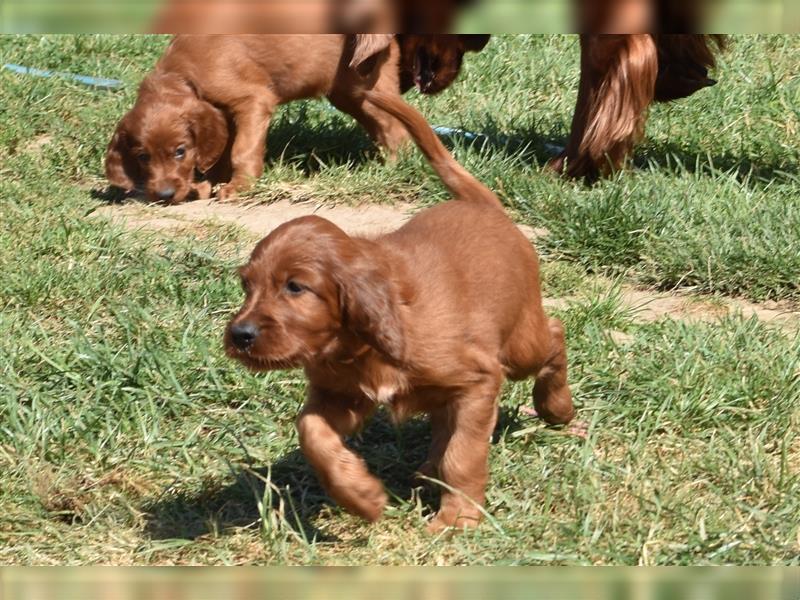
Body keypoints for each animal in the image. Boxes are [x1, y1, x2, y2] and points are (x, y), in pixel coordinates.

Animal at [105, 35, 406, 204]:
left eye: (180, 151)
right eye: (143, 157)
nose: (165, 196)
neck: (183, 75)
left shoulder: (252, 101)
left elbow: (241, 150)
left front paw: (239, 187)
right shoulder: (222, 115)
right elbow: (221, 152)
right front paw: (210, 183)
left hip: (368, 87)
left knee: (395, 129)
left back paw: (393, 167)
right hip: (347, 94)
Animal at [225, 91, 576, 532]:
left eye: (295, 287)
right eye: (247, 285)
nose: (239, 336)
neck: (357, 344)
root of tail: (486, 208)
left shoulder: (480, 381)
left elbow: (464, 454)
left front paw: (458, 518)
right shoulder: (341, 395)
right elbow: (311, 431)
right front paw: (361, 497)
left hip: (519, 345)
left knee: (555, 332)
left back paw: (557, 408)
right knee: (443, 422)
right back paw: (426, 469)